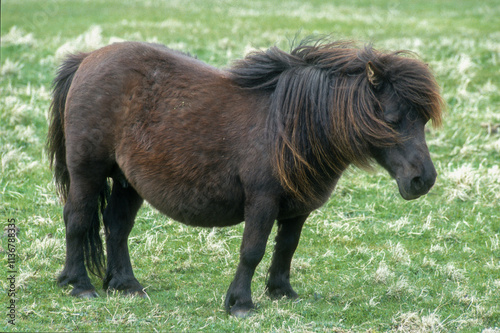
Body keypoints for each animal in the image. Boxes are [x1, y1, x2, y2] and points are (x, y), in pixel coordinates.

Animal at [48, 37, 444, 316]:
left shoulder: (298, 208)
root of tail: (87, 59)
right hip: (88, 172)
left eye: (423, 119)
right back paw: (80, 284)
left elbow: (286, 248)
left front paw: (282, 292)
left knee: (116, 225)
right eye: (392, 119)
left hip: (128, 181)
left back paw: (126, 284)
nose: (422, 181)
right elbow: (252, 250)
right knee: (77, 219)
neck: (292, 127)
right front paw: (240, 303)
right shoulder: (262, 200)